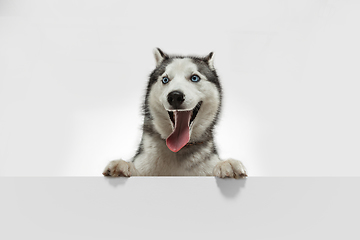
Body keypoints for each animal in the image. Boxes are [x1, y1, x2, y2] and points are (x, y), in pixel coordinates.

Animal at [102, 48, 246, 178]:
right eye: (165, 79)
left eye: (194, 78)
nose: (175, 96)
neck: (177, 149)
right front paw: (123, 166)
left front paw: (226, 164)